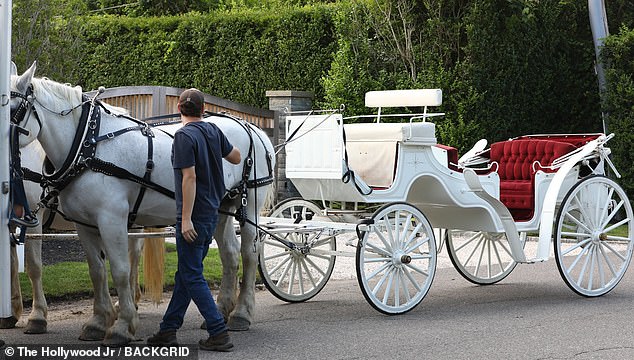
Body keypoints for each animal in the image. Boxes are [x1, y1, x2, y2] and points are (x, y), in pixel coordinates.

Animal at [9, 62, 272, 346]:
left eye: (12, 109)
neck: (87, 145)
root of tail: (251, 127)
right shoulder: (84, 224)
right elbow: (97, 270)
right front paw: (98, 322)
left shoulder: (109, 219)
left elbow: (118, 270)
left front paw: (122, 326)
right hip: (220, 208)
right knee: (230, 254)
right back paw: (222, 309)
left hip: (250, 205)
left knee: (249, 254)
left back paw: (241, 313)